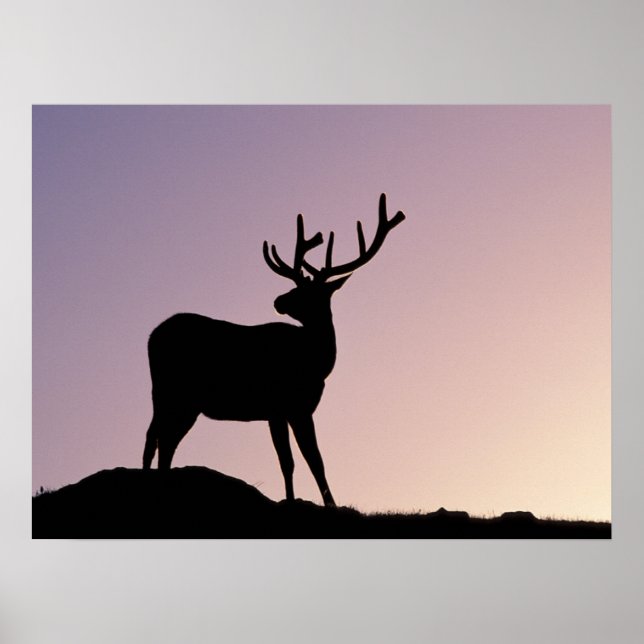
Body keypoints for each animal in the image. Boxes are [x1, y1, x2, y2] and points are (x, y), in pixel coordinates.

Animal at [142, 193, 405, 506]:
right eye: (297, 286)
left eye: (308, 290)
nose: (278, 300)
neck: (317, 361)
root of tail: (152, 336)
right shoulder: (288, 405)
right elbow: (304, 460)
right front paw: (318, 503)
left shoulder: (285, 411)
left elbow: (298, 460)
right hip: (179, 393)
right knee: (162, 438)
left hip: (169, 395)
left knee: (156, 437)